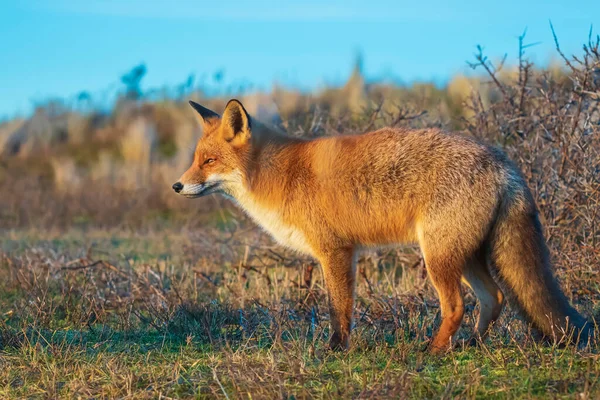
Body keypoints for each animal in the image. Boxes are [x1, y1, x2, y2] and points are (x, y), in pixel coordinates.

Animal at [172, 98, 592, 352]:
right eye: (195, 160)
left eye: (209, 161)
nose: (177, 185)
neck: (279, 176)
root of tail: (503, 162)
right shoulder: (341, 253)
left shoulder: (336, 251)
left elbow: (338, 309)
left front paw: (334, 351)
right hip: (464, 255)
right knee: (496, 299)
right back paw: (468, 346)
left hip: (438, 257)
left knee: (457, 306)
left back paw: (432, 352)